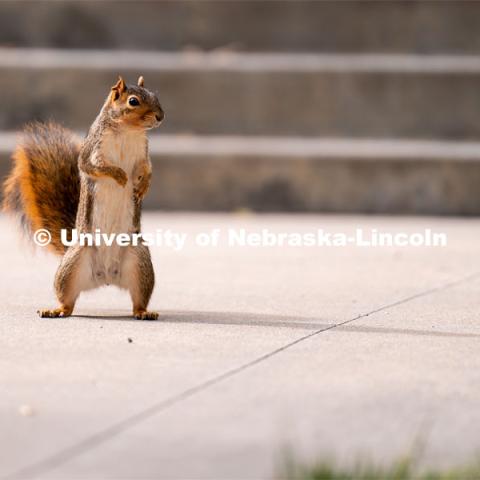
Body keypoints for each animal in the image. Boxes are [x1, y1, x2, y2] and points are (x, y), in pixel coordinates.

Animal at [2, 75, 165, 320]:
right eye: (133, 101)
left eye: (155, 96)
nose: (160, 116)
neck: (127, 131)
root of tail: (107, 275)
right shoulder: (93, 150)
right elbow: (92, 166)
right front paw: (119, 175)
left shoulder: (143, 154)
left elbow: (147, 169)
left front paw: (144, 185)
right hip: (72, 265)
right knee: (67, 301)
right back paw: (56, 309)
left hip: (140, 263)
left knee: (139, 300)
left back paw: (144, 312)